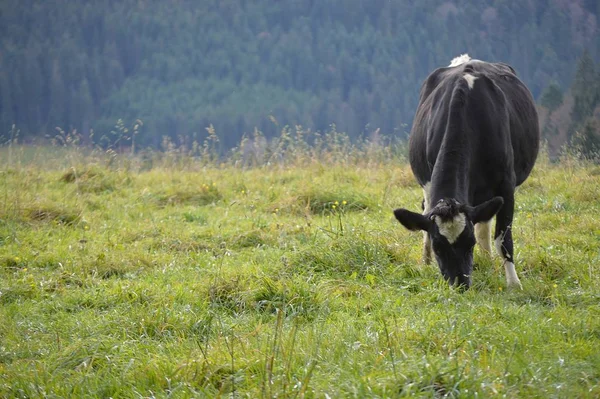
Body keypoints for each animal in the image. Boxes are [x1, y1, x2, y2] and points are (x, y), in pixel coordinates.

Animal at [394, 54, 540, 290]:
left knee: (485, 225)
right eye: (438, 246)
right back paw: (426, 261)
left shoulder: (506, 185)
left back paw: (488, 260)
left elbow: (503, 238)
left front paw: (513, 283)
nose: (459, 283)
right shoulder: (430, 182)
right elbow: (426, 219)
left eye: (469, 243)